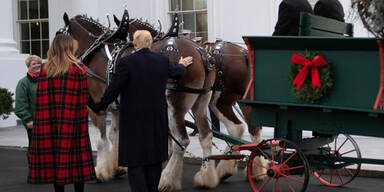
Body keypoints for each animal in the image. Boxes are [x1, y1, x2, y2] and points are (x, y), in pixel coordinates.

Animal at [55, 11, 130, 182]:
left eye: (58, 34)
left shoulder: (96, 107)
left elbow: (101, 139)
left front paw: (100, 172)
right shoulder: (116, 109)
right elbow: (114, 136)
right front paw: (117, 168)